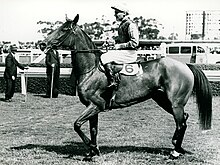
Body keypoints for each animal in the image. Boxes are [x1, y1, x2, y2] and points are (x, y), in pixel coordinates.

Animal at [44, 14, 211, 160]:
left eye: (64, 29)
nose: (43, 43)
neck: (92, 69)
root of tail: (186, 65)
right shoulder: (92, 107)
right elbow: (93, 130)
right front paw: (93, 152)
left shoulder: (96, 105)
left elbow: (77, 125)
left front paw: (92, 148)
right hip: (163, 100)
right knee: (184, 119)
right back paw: (177, 146)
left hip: (176, 103)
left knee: (181, 123)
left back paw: (175, 152)